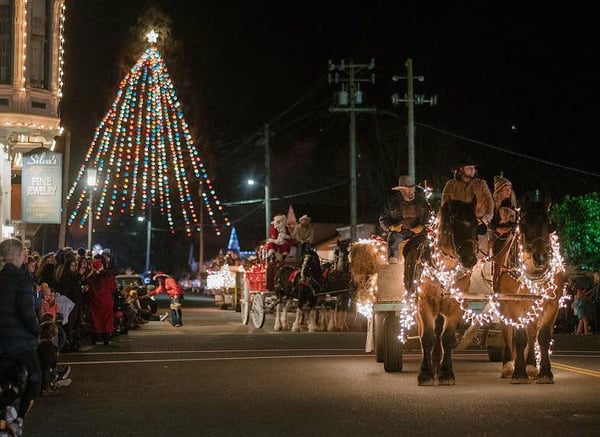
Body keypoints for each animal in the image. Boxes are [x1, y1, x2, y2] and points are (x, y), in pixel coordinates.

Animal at [418, 198, 478, 384]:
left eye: (476, 224)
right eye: (454, 223)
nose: (470, 260)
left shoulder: (456, 306)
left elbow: (447, 339)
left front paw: (446, 373)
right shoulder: (424, 303)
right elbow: (427, 337)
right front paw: (425, 373)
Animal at [494, 190, 564, 382]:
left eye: (549, 224)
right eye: (524, 224)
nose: (540, 258)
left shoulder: (551, 304)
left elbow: (543, 337)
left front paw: (544, 372)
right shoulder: (515, 304)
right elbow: (518, 337)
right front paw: (519, 372)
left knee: (532, 333)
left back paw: (531, 365)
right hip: (503, 304)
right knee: (506, 331)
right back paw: (508, 365)